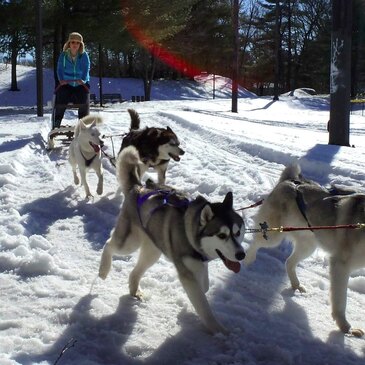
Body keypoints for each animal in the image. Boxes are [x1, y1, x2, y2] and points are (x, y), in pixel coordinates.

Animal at [99, 145, 245, 332]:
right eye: (222, 235)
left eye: (238, 232)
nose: (241, 255)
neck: (190, 232)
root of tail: (138, 188)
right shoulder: (187, 274)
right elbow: (203, 304)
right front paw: (219, 331)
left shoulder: (199, 262)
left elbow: (204, 285)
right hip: (130, 242)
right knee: (109, 244)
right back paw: (104, 270)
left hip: (153, 250)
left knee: (135, 271)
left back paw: (134, 291)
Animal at [243, 164, 365, 336]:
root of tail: (292, 180)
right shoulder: (340, 266)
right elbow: (340, 302)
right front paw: (346, 328)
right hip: (273, 236)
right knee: (255, 243)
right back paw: (247, 260)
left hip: (308, 246)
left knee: (288, 262)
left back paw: (296, 285)